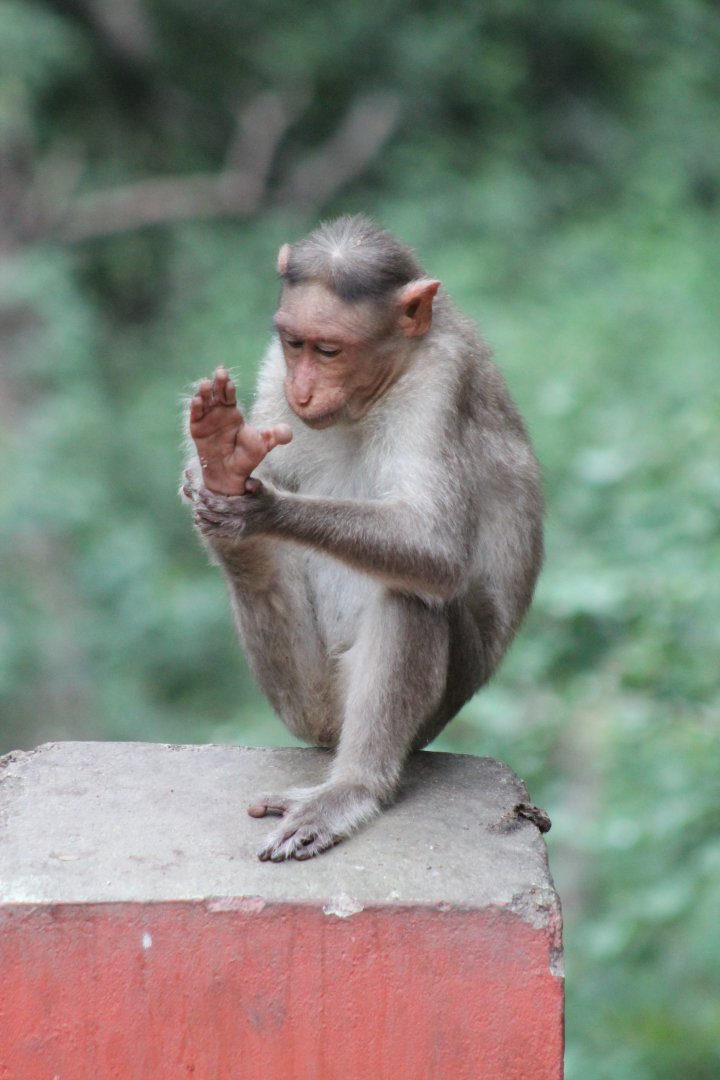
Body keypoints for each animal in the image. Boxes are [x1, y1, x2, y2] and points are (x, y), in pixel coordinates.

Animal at [181, 214, 543, 862]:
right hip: (304, 698)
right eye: (294, 343)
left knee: (412, 591)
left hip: (429, 708)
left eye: (330, 350)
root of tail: (330, 734)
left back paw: (354, 787)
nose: (302, 390)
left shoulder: (440, 382)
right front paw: (220, 470)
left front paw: (259, 506)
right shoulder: (274, 366)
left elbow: (434, 545)